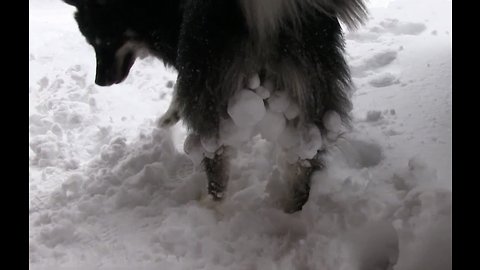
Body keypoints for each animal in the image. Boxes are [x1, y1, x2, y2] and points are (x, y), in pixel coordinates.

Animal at [62, 0, 368, 212]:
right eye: (90, 41)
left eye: (104, 40)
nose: (100, 81)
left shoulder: (186, 63)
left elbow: (178, 93)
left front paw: (167, 119)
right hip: (311, 98)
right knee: (303, 163)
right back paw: (292, 211)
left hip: (211, 101)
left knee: (217, 164)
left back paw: (208, 207)